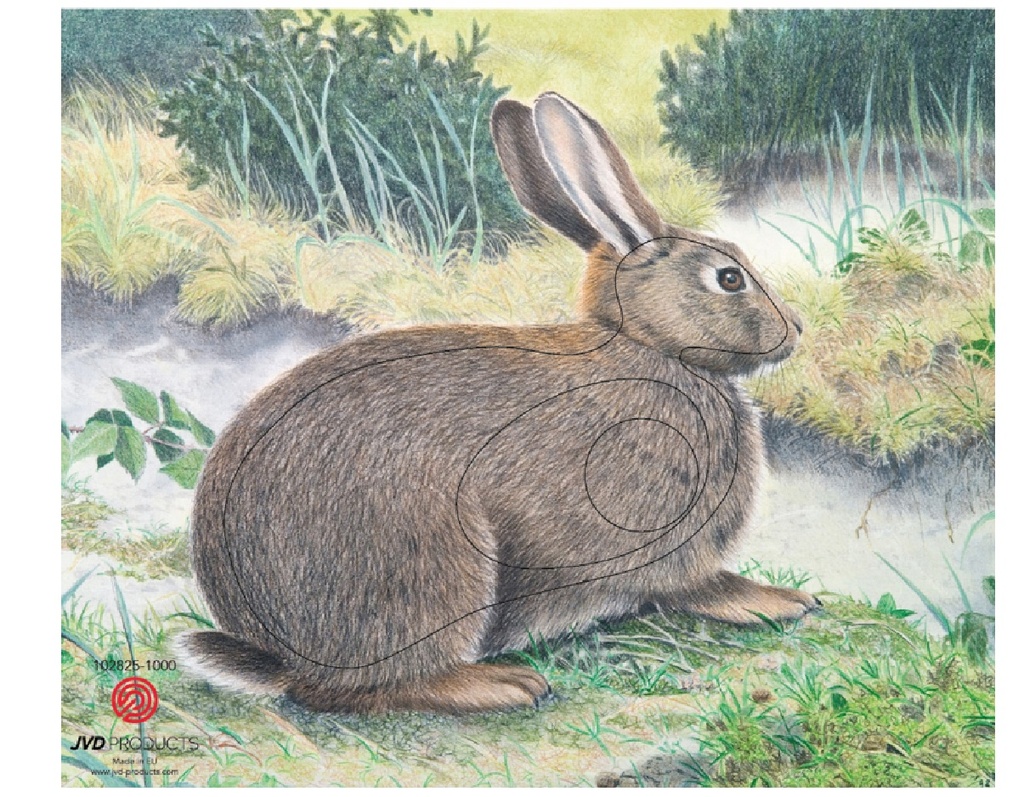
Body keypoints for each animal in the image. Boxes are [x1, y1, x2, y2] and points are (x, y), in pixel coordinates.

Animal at [180, 92, 818, 714]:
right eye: (730, 278)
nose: (797, 329)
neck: (648, 347)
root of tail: (280, 650)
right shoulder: (665, 541)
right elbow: (695, 586)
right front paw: (776, 600)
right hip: (428, 562)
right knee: (375, 687)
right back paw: (505, 685)